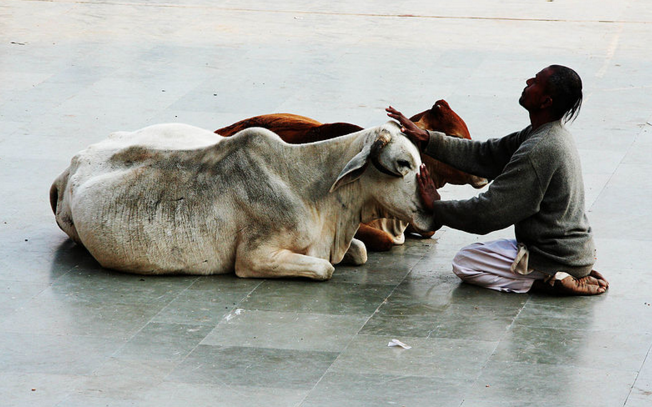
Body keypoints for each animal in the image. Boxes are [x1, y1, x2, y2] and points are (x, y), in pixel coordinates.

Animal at [51, 121, 432, 280]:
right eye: (403, 164)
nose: (432, 213)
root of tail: (72, 165)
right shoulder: (254, 257)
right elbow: (325, 269)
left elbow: (361, 250)